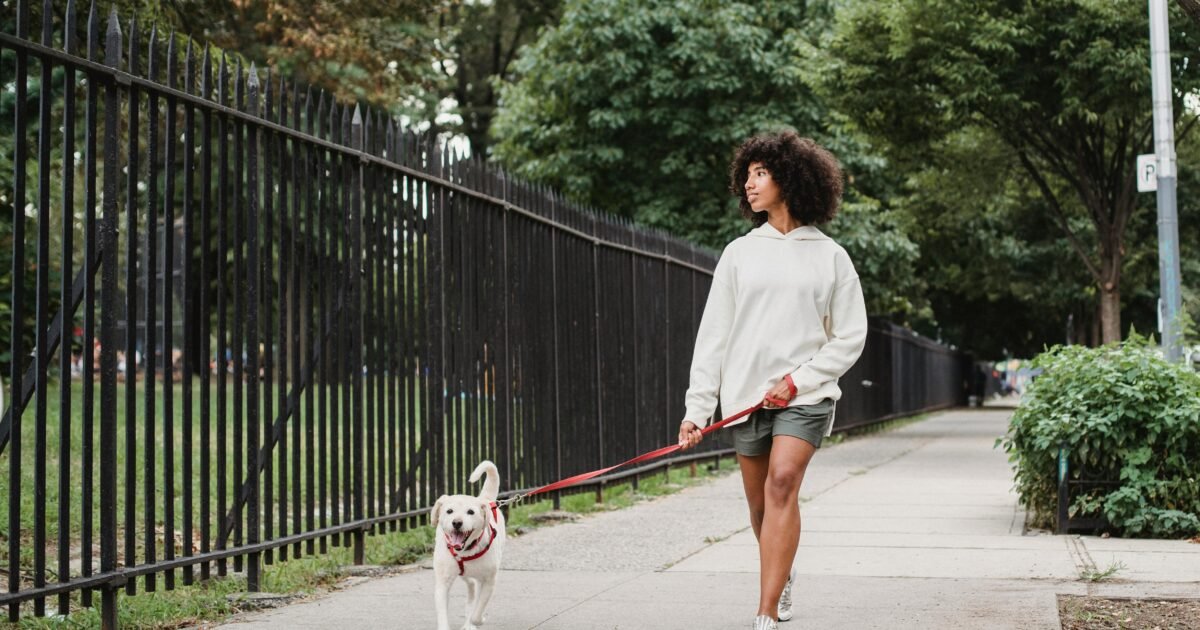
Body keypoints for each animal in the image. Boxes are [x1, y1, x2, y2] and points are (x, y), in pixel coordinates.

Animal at [432, 458, 506, 628]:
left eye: (471, 512)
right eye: (449, 511)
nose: (457, 523)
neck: (465, 551)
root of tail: (486, 499)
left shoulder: (489, 581)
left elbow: (476, 615)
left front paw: (474, 621)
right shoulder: (442, 582)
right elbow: (442, 612)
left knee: (473, 591)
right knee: (470, 584)